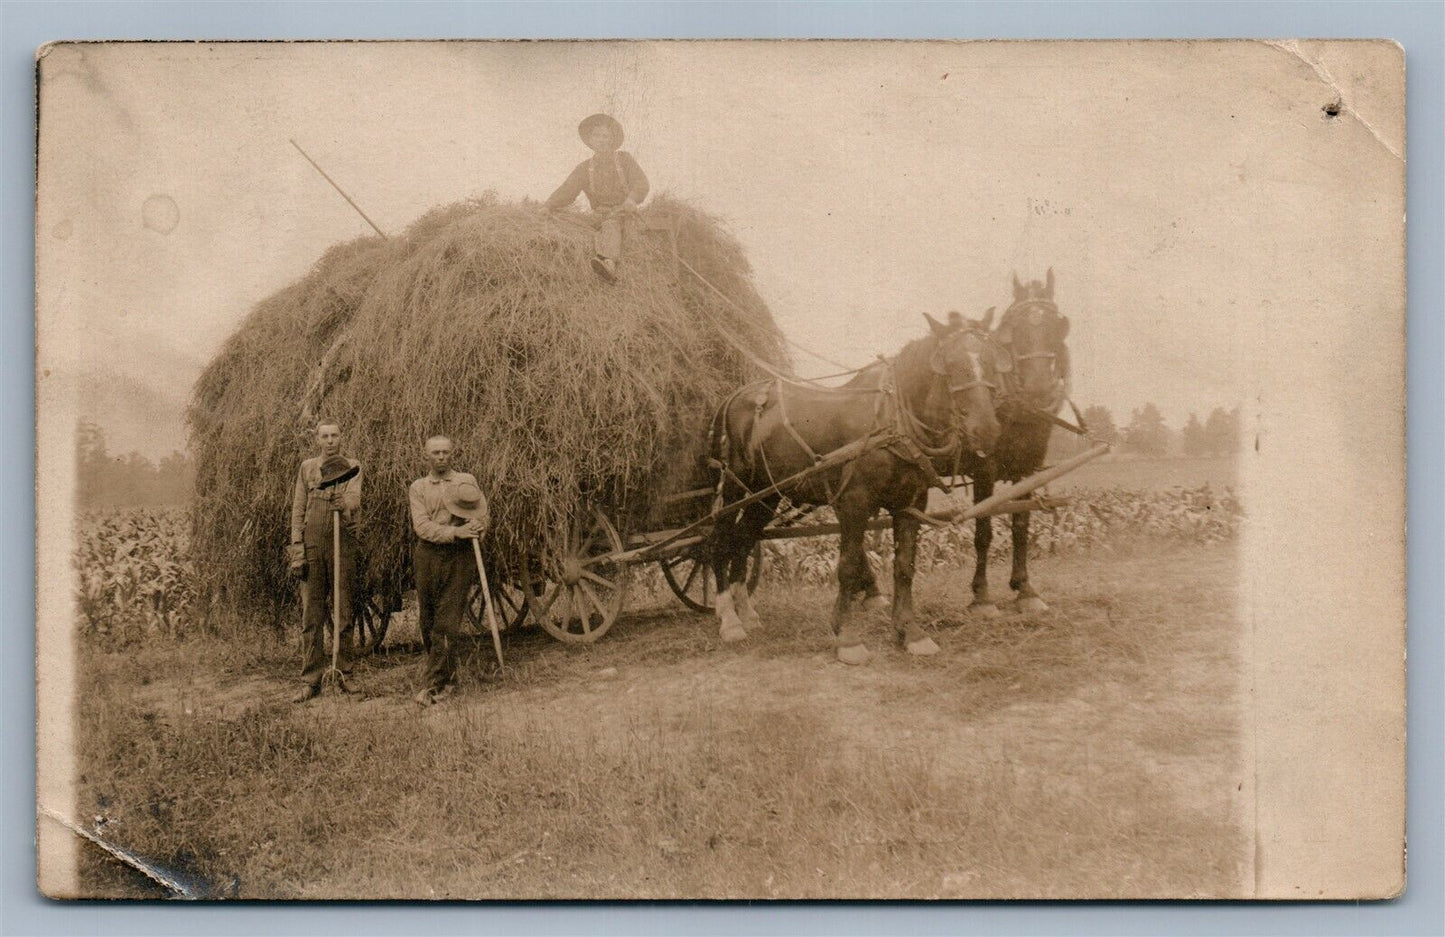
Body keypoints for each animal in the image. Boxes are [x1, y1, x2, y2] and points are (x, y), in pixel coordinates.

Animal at [708, 316, 1005, 665]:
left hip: (767, 493)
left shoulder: (910, 503)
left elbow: (905, 567)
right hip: (734, 485)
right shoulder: (854, 503)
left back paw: (746, 612)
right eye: (953, 365)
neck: (892, 421)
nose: (987, 430)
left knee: (742, 540)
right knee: (719, 540)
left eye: (992, 361)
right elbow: (847, 567)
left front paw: (911, 632)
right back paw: (729, 618)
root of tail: (735, 396)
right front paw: (847, 638)